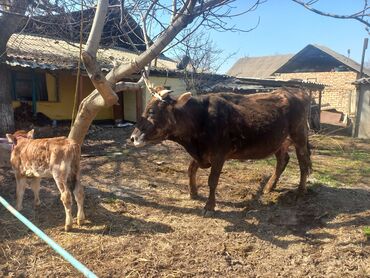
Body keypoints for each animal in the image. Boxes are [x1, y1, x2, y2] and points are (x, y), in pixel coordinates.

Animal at [131, 87, 312, 213]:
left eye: (152, 111)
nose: (133, 138)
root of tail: (294, 92)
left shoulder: (219, 155)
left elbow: (212, 180)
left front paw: (209, 206)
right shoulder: (201, 153)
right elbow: (190, 169)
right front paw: (193, 192)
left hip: (300, 137)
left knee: (303, 163)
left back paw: (300, 192)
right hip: (279, 141)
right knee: (283, 160)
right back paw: (269, 187)